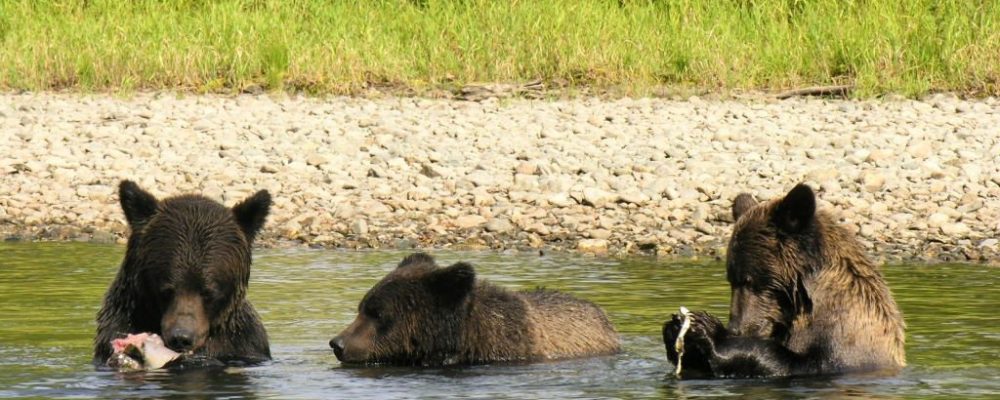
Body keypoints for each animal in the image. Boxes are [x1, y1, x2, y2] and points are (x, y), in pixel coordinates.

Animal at [664, 184, 908, 378]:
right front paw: (676, 328)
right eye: (731, 280)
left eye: (748, 280)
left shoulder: (844, 348)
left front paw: (710, 330)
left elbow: (790, 362)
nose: (736, 328)